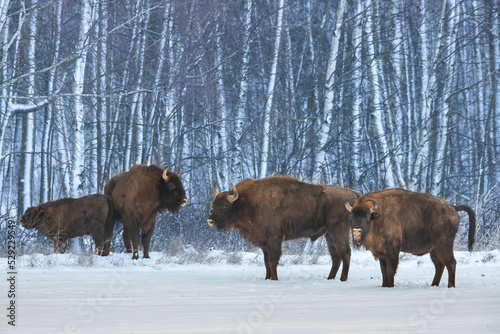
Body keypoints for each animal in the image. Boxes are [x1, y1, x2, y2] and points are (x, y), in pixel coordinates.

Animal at [208, 176, 360, 280]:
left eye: (225, 206)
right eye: (214, 204)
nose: (210, 220)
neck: (247, 202)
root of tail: (353, 194)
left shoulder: (274, 240)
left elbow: (272, 261)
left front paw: (274, 279)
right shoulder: (264, 244)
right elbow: (266, 262)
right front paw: (267, 278)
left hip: (338, 230)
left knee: (345, 253)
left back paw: (342, 279)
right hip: (329, 234)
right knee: (336, 256)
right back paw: (330, 278)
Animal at [344, 188, 476, 288]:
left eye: (367, 218)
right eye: (351, 218)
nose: (356, 232)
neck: (378, 216)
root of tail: (453, 207)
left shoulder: (392, 250)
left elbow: (390, 269)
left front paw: (390, 285)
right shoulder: (381, 253)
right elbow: (383, 270)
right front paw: (384, 285)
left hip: (443, 245)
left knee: (451, 263)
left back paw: (450, 286)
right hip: (434, 250)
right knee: (440, 265)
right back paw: (433, 284)